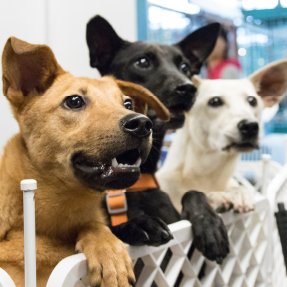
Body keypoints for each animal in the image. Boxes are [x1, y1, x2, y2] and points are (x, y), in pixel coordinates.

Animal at [85, 15, 230, 264]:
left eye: (185, 67)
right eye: (142, 62)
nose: (188, 88)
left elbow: (193, 193)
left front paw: (210, 224)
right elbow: (108, 231)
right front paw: (138, 224)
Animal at [156, 60, 287, 214]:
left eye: (252, 100)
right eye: (215, 101)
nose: (250, 126)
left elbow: (238, 187)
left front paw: (239, 193)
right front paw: (216, 196)